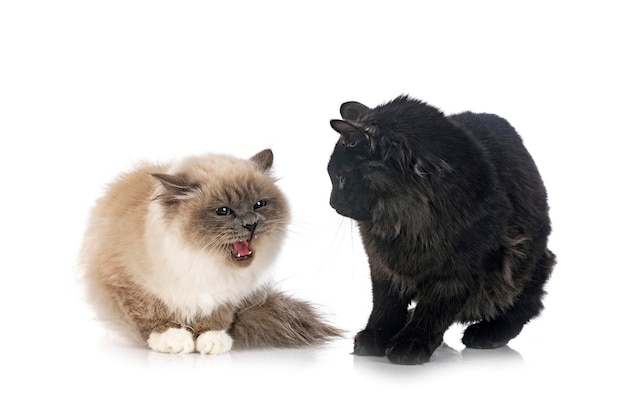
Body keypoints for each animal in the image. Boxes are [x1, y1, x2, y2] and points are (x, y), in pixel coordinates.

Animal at [81, 148, 342, 352]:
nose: (251, 224)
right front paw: (174, 338)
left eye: (259, 204)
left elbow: (216, 319)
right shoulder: (127, 284)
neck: (201, 257)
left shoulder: (228, 294)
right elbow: (152, 316)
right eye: (223, 211)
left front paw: (211, 340)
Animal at [324, 95, 552, 364]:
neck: (406, 225)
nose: (332, 203)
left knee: (524, 306)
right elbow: (384, 305)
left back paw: (487, 332)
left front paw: (411, 343)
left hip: (528, 262)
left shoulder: (458, 271)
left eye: (341, 178)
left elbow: (433, 309)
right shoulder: (383, 266)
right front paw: (375, 337)